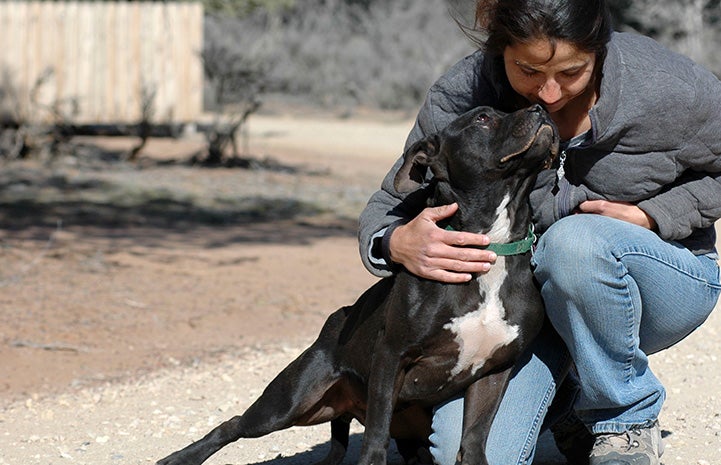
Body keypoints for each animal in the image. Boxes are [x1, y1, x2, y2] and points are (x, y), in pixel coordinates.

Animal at [158, 104, 560, 464]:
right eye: (483, 118)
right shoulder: (391, 356)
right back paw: (179, 458)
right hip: (290, 403)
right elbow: (375, 440)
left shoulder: (493, 372)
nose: (540, 110)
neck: (492, 244)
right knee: (233, 424)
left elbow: (473, 441)